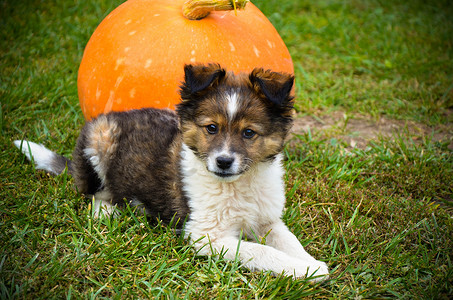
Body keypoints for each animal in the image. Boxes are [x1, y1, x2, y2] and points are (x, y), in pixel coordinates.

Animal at [14, 63, 328, 282]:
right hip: (101, 137)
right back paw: (108, 211)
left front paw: (312, 265)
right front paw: (302, 271)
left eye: (249, 133)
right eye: (211, 128)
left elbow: (288, 241)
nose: (223, 162)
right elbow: (261, 251)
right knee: (93, 193)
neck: (239, 184)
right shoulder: (205, 235)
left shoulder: (267, 220)